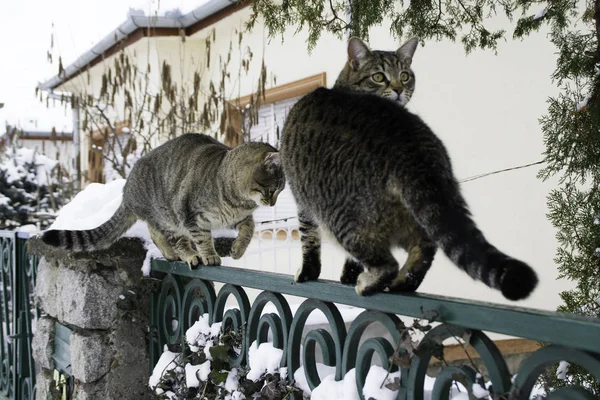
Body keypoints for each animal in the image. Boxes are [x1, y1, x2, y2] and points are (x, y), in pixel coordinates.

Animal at [42, 133, 286, 268]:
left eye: (281, 191)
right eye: (273, 189)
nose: (274, 204)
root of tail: (127, 192)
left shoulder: (238, 218)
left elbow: (249, 230)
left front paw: (237, 250)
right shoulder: (192, 216)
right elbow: (204, 240)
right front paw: (209, 255)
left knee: (155, 231)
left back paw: (173, 254)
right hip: (169, 215)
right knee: (169, 235)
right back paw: (188, 255)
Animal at [282, 38, 540, 300]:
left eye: (404, 76)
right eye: (379, 76)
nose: (398, 89)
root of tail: (413, 147)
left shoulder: (302, 201)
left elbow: (308, 240)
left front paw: (309, 272)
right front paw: (348, 274)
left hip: (343, 219)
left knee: (387, 263)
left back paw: (370, 283)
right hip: (419, 215)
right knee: (424, 250)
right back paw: (404, 282)